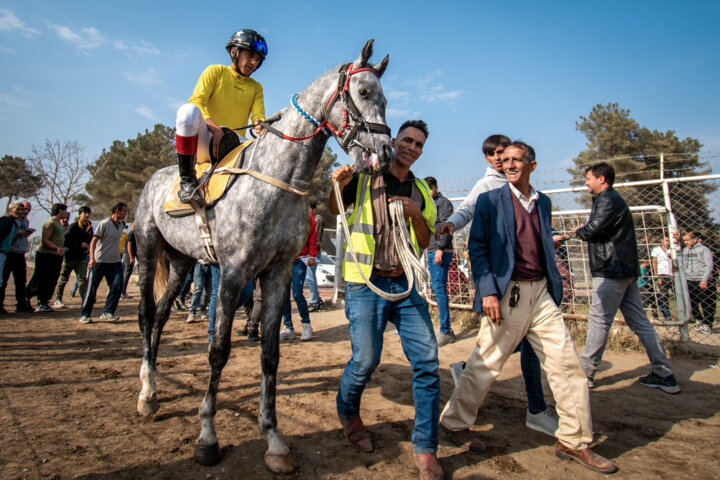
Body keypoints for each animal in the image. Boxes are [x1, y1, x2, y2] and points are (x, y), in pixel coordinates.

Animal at [135, 40, 394, 472]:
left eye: (385, 99)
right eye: (363, 92)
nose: (385, 153)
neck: (276, 182)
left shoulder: (276, 274)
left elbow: (270, 355)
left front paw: (273, 438)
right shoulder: (233, 274)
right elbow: (218, 352)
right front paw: (207, 436)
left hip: (182, 263)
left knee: (159, 317)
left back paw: (152, 390)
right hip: (146, 251)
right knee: (144, 314)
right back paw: (145, 391)